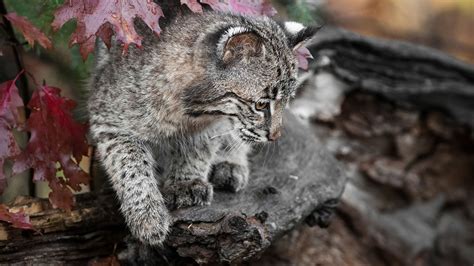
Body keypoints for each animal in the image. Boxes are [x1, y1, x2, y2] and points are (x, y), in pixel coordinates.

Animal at [89, 12, 318, 245]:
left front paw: (186, 183)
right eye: (261, 105)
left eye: (286, 101)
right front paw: (147, 216)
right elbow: (129, 164)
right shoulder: (108, 117)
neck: (188, 111)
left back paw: (231, 162)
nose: (275, 136)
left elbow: (199, 148)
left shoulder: (215, 123)